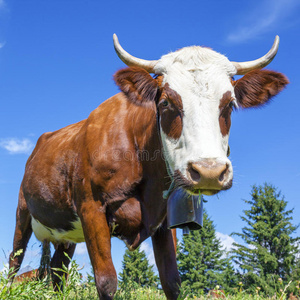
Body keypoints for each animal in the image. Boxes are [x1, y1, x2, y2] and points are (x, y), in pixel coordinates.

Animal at [8, 34, 288, 298]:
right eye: (166, 102)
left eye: (230, 104)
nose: (209, 172)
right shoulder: (91, 208)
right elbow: (106, 282)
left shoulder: (164, 220)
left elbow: (172, 282)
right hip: (23, 213)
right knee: (15, 261)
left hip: (66, 235)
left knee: (58, 271)